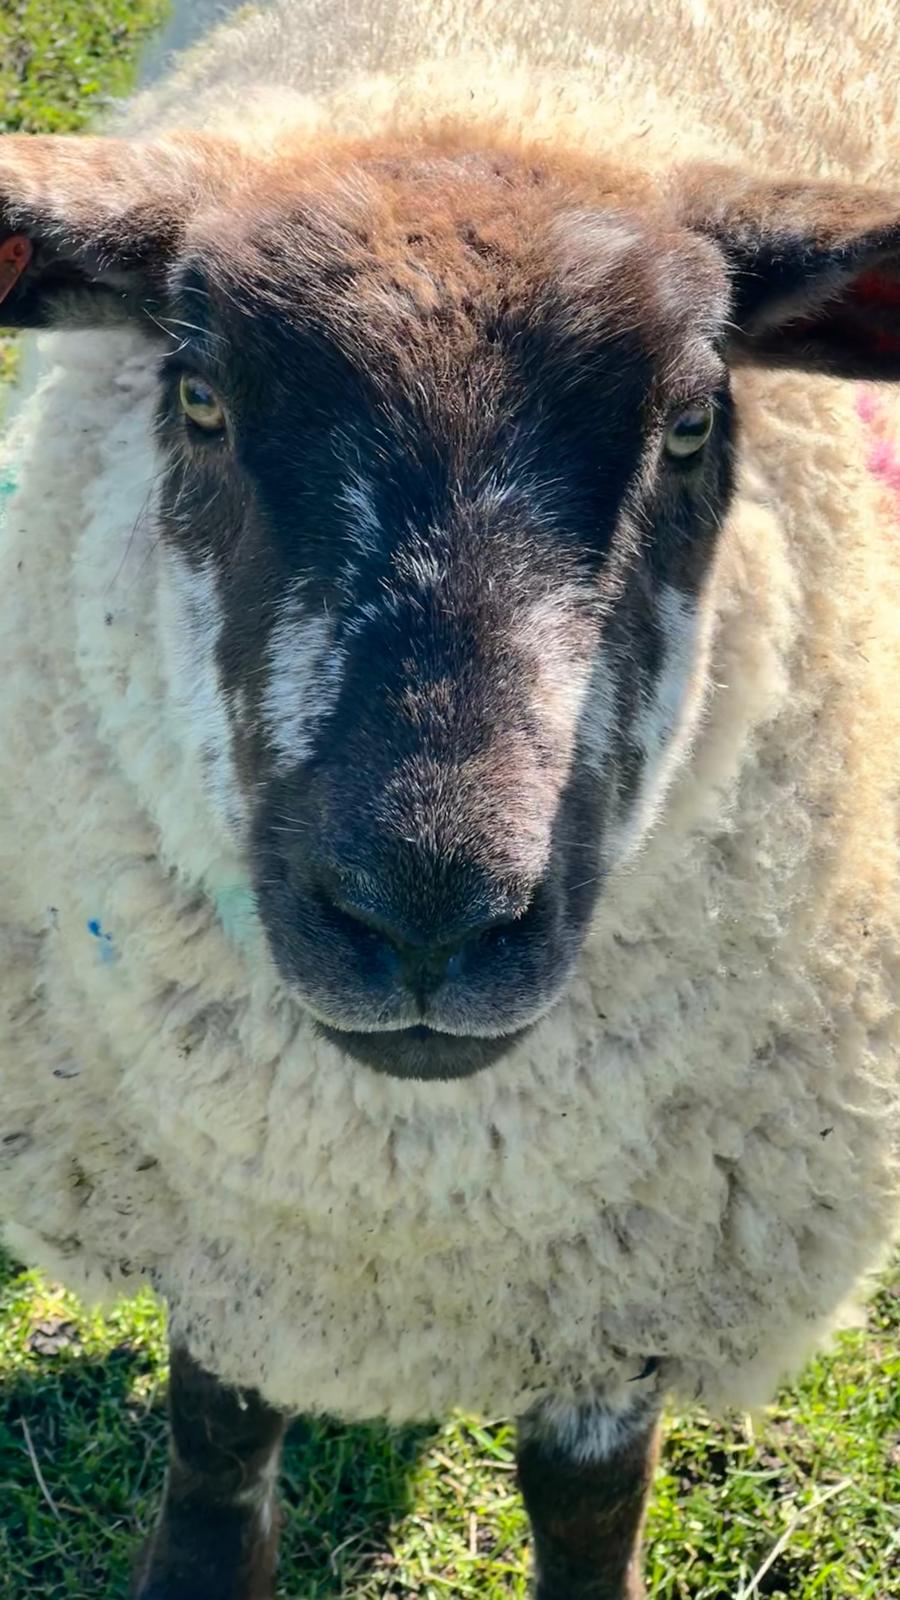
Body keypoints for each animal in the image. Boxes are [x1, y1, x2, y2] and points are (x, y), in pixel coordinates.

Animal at [1, 0, 900, 1595]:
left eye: (691, 421)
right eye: (199, 398)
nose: (427, 915)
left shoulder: (630, 1294)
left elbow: (585, 1501)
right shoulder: (234, 1237)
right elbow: (218, 1429)